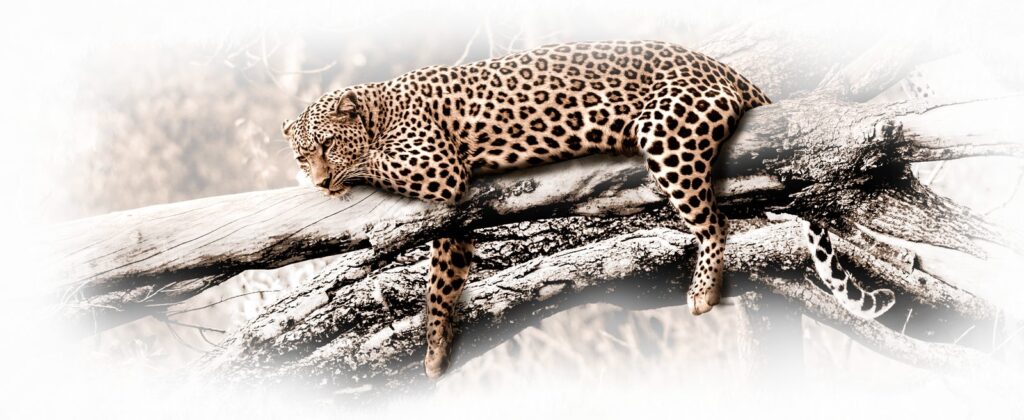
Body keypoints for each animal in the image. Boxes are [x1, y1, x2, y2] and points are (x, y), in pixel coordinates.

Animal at [282, 40, 894, 379]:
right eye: (301, 153)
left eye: (327, 145)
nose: (318, 180)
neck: (377, 106)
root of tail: (728, 69)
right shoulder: (451, 217)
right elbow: (441, 279)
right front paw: (435, 351)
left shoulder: (436, 165)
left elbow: (376, 163)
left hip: (666, 132)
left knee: (713, 221)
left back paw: (702, 291)